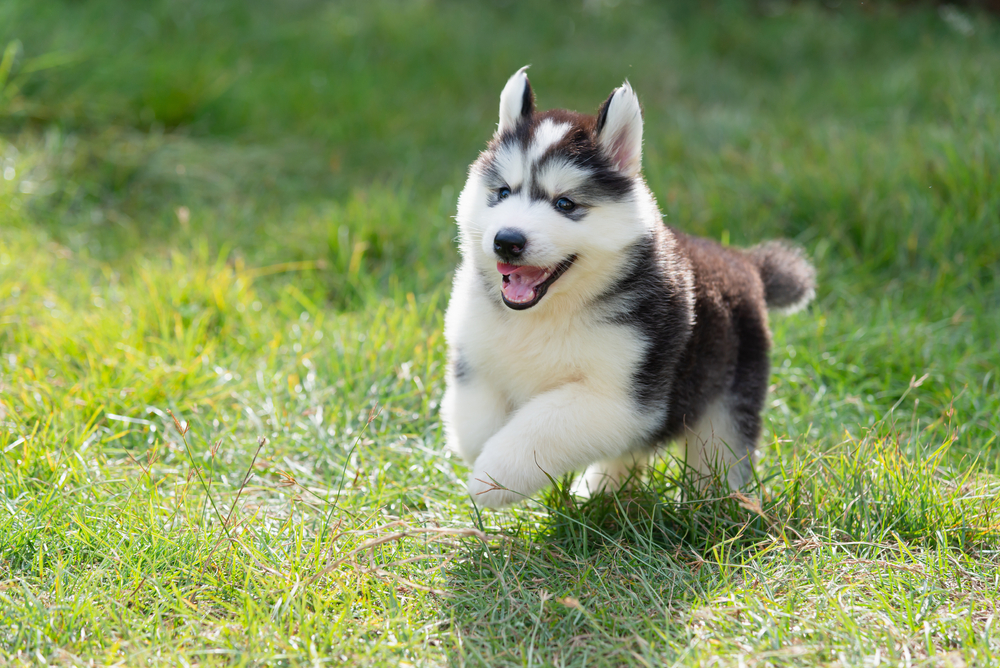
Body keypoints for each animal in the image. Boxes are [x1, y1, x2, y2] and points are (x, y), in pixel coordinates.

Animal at [442, 68, 816, 506]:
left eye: (565, 204)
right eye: (502, 192)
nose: (507, 241)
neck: (544, 316)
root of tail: (743, 262)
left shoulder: (622, 398)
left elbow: (541, 425)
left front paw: (493, 476)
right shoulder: (474, 356)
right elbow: (474, 423)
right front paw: (482, 450)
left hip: (730, 395)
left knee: (719, 452)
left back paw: (718, 503)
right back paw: (602, 491)